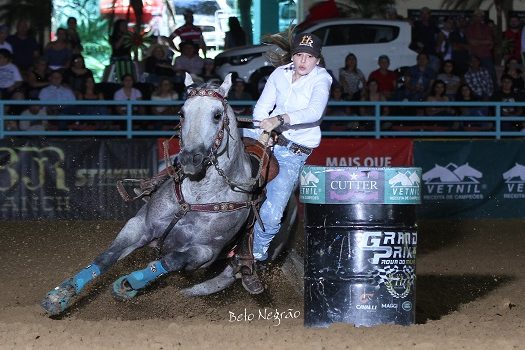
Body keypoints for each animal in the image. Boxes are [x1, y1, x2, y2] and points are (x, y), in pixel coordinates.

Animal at [41, 72, 264, 316]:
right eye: (182, 113)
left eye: (217, 115)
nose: (189, 158)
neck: (198, 198)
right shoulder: (139, 225)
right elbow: (106, 257)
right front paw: (61, 294)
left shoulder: (204, 252)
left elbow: (170, 261)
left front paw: (128, 283)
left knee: (209, 284)